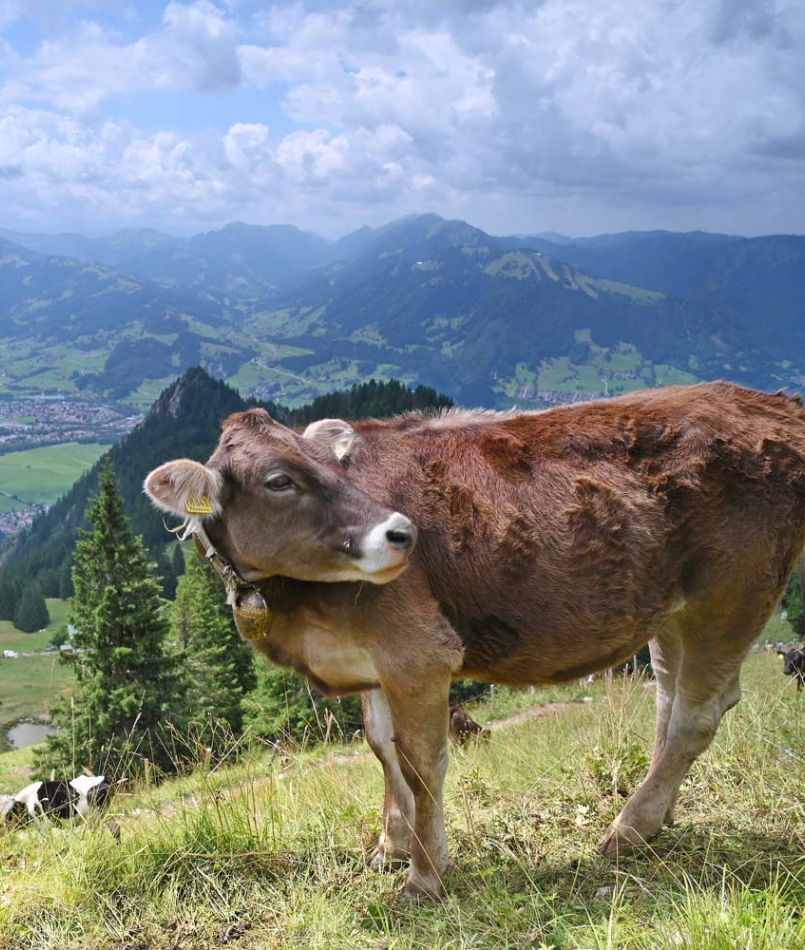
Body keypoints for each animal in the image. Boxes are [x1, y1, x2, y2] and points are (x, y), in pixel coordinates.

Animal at [145, 381, 805, 899]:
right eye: (279, 480)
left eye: (335, 466)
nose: (400, 533)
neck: (297, 611)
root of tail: (771, 403)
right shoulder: (374, 657)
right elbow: (380, 746)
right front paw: (390, 845)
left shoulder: (417, 651)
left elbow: (420, 763)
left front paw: (425, 874)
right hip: (672, 609)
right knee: (669, 704)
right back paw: (656, 817)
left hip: (735, 589)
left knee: (698, 714)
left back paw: (627, 830)